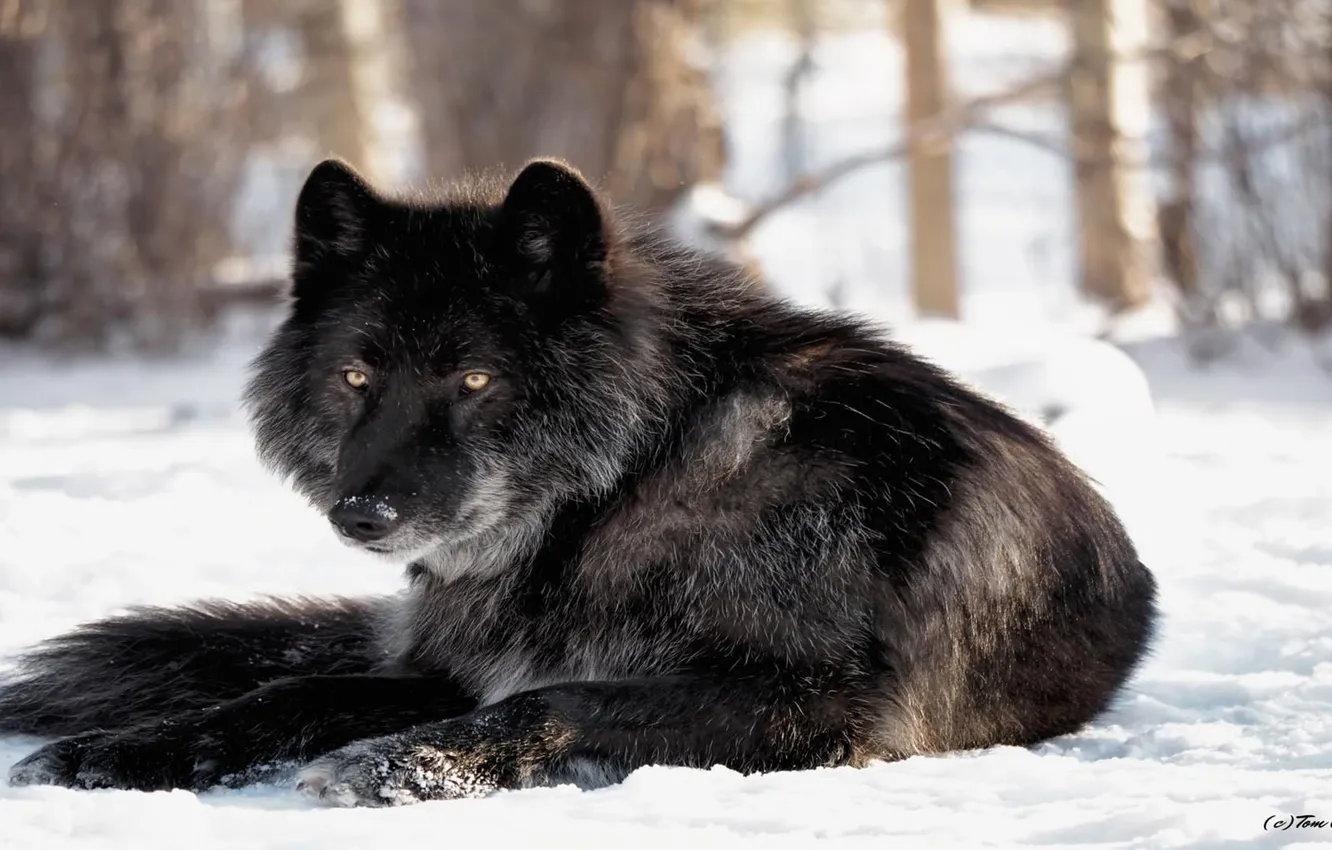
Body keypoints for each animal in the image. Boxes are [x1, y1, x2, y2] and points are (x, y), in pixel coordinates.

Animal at [0, 157, 1158, 807]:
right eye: (357, 375)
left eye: (475, 378)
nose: (363, 512)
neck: (621, 489)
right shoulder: (458, 665)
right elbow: (288, 692)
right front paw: (118, 753)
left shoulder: (825, 708)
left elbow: (557, 697)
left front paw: (394, 765)